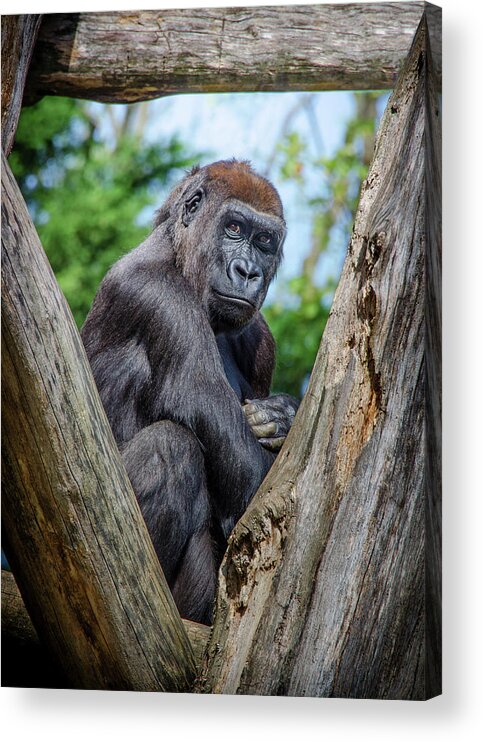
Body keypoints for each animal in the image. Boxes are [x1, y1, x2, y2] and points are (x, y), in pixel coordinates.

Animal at [82, 160, 298, 624]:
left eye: (264, 241)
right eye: (233, 228)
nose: (248, 272)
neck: (177, 252)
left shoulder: (261, 338)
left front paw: (282, 416)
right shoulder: (163, 300)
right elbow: (251, 481)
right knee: (170, 446)